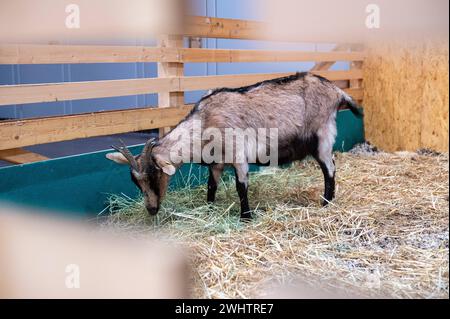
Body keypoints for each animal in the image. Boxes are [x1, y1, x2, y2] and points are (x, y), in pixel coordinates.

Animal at [107, 72, 364, 220]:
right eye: (135, 182)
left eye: (154, 175)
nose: (151, 209)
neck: (205, 122)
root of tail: (338, 92)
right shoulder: (216, 163)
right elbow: (211, 186)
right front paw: (210, 207)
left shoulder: (239, 155)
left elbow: (241, 187)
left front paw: (246, 216)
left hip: (323, 135)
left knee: (329, 167)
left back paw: (326, 202)